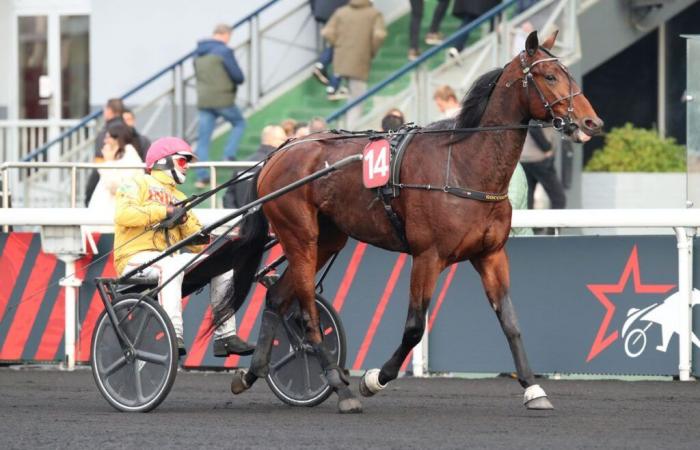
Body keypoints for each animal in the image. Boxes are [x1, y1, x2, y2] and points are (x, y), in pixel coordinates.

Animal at [213, 29, 600, 414]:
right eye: (549, 76)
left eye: (568, 72)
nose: (591, 122)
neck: (464, 166)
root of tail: (280, 152)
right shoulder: (428, 256)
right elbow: (415, 327)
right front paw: (374, 379)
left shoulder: (490, 255)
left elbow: (510, 322)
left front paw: (534, 389)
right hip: (300, 235)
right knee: (307, 310)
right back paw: (340, 386)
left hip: (327, 238)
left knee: (277, 297)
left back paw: (252, 373)